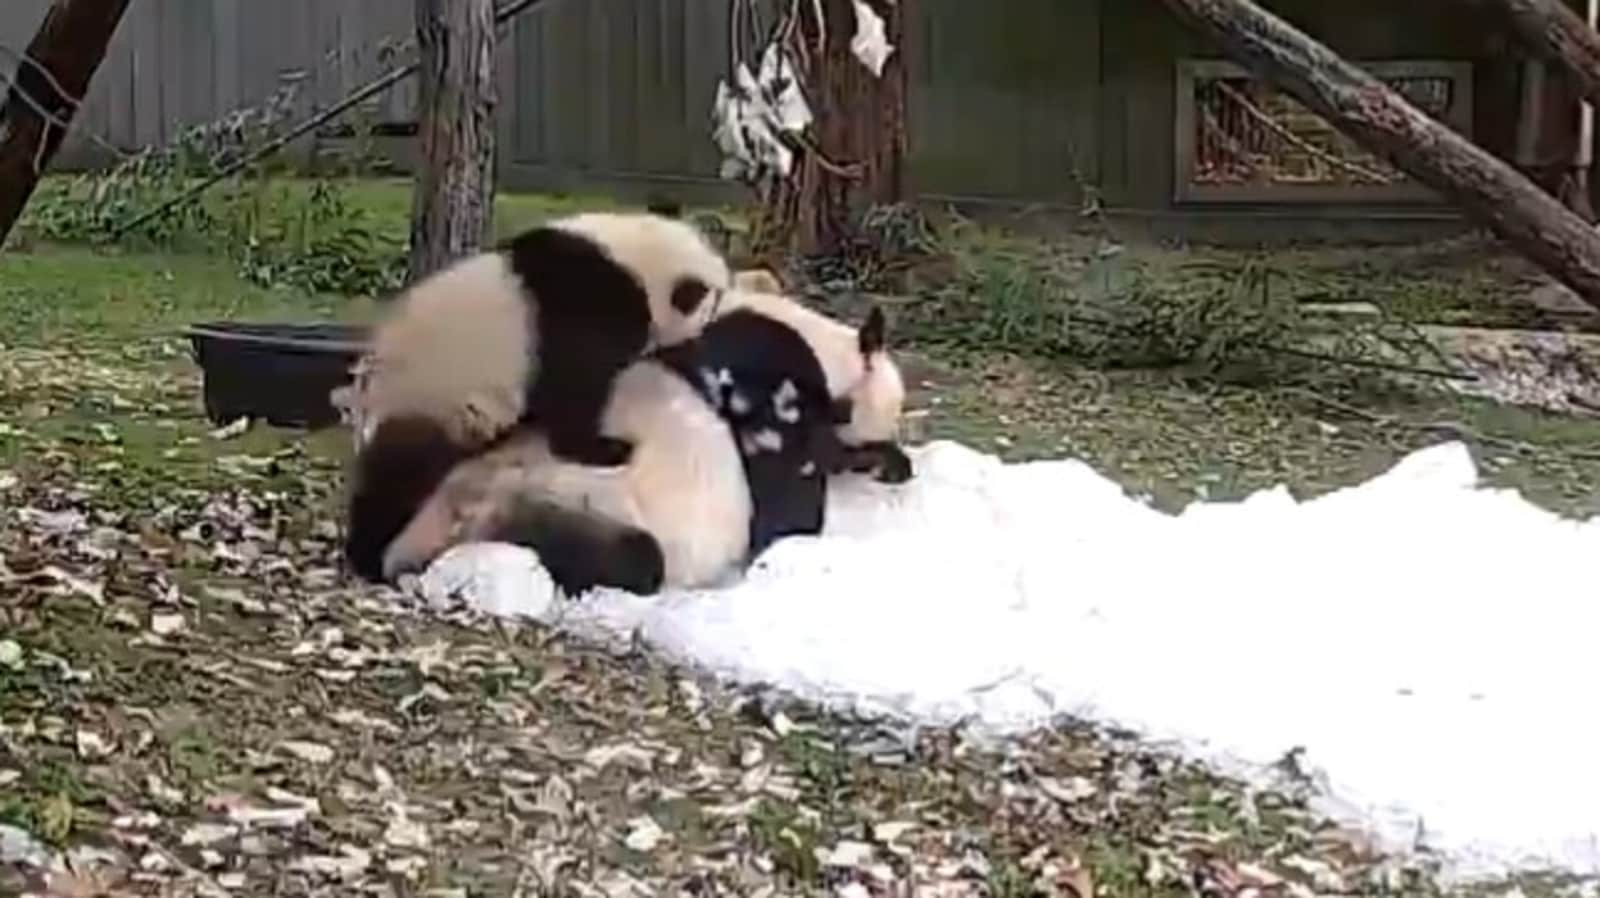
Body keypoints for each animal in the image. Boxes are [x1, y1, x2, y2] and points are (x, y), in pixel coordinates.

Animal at [347, 212, 732, 585]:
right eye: (713, 308)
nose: (703, 348)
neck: (638, 262)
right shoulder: (588, 310)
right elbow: (575, 392)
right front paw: (608, 448)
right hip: (431, 396)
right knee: (396, 476)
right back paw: (369, 552)